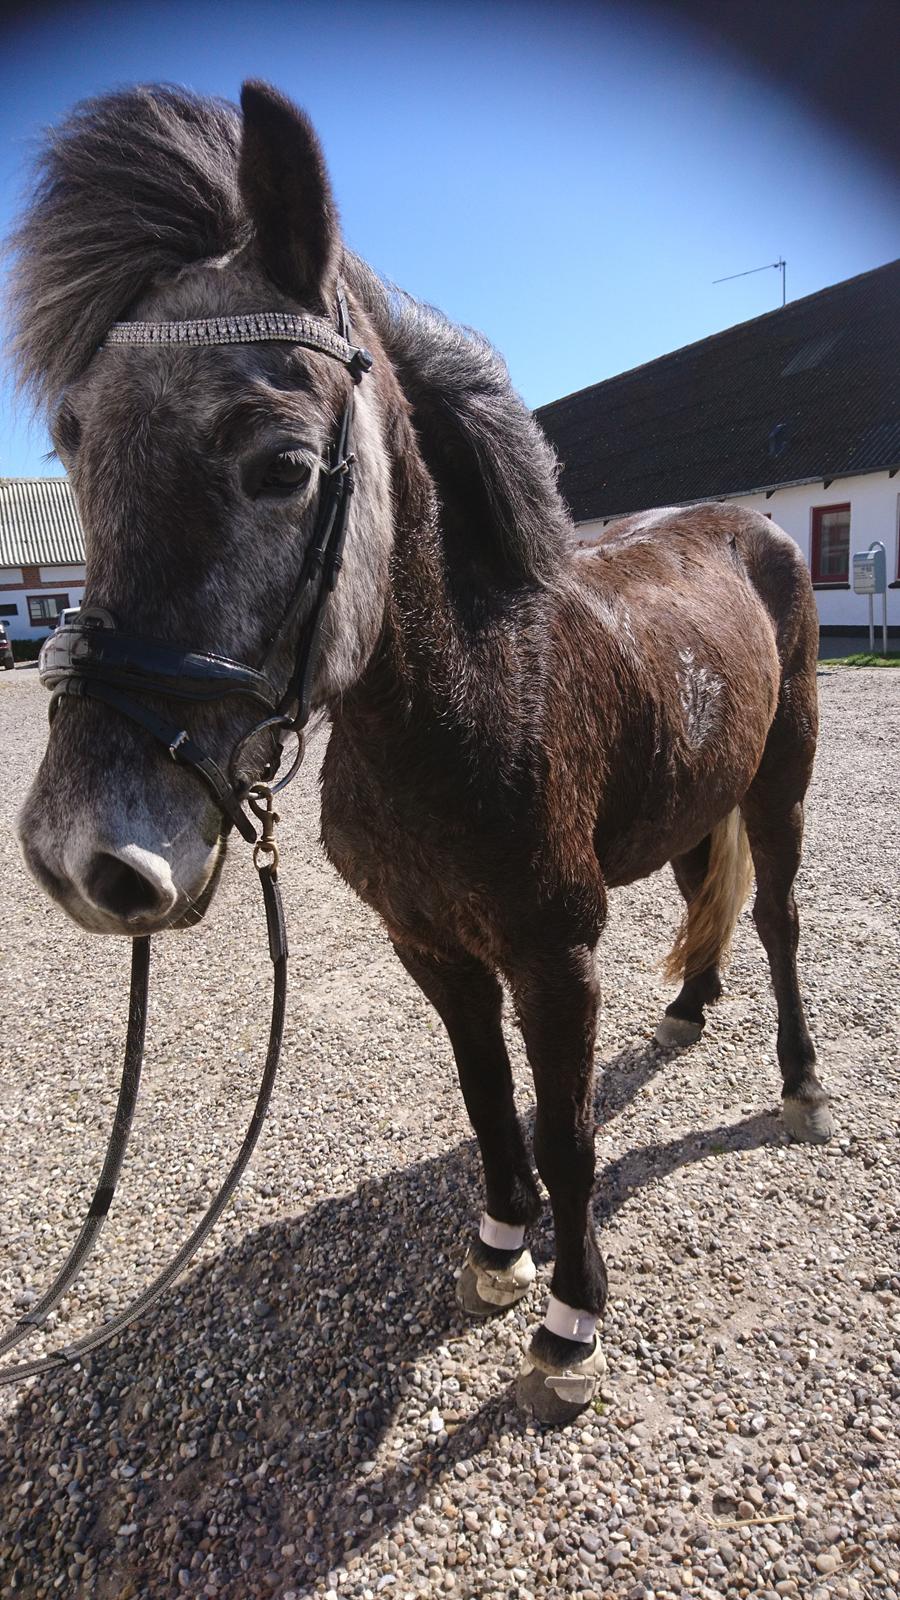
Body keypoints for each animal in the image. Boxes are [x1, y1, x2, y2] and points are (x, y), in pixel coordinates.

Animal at [7, 81, 832, 1420]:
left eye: (283, 465)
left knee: (778, 919)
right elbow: (488, 1100)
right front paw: (501, 1246)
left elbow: (566, 1130)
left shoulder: (555, 952)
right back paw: (689, 1009)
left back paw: (802, 1084)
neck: (465, 702)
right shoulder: (429, 946)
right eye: (76, 444)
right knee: (705, 893)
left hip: (783, 775)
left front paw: (569, 1320)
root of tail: (743, 528)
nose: (83, 856)